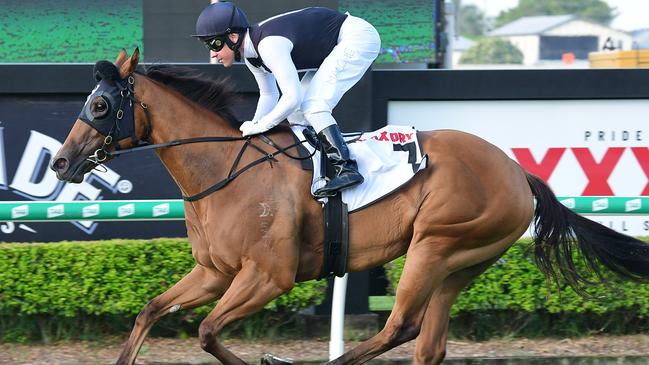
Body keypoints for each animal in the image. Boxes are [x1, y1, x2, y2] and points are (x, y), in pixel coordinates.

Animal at [50, 49, 648, 364]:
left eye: (100, 105)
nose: (59, 163)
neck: (223, 173)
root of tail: (518, 171)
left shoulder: (268, 275)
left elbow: (208, 331)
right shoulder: (215, 272)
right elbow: (151, 311)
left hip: (436, 243)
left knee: (400, 327)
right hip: (463, 262)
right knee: (427, 344)